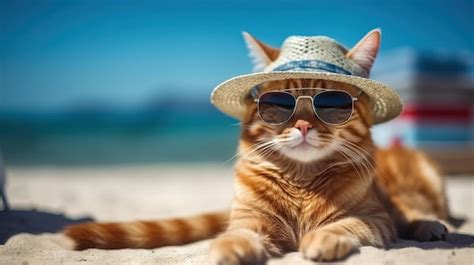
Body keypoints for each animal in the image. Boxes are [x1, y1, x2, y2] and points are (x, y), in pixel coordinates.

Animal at [63, 29, 448, 262]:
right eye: (278, 103)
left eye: (331, 104)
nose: (303, 125)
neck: (301, 181)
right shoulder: (250, 220)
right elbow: (238, 234)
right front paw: (229, 247)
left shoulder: (373, 219)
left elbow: (344, 225)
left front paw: (323, 239)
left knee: (410, 213)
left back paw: (430, 226)